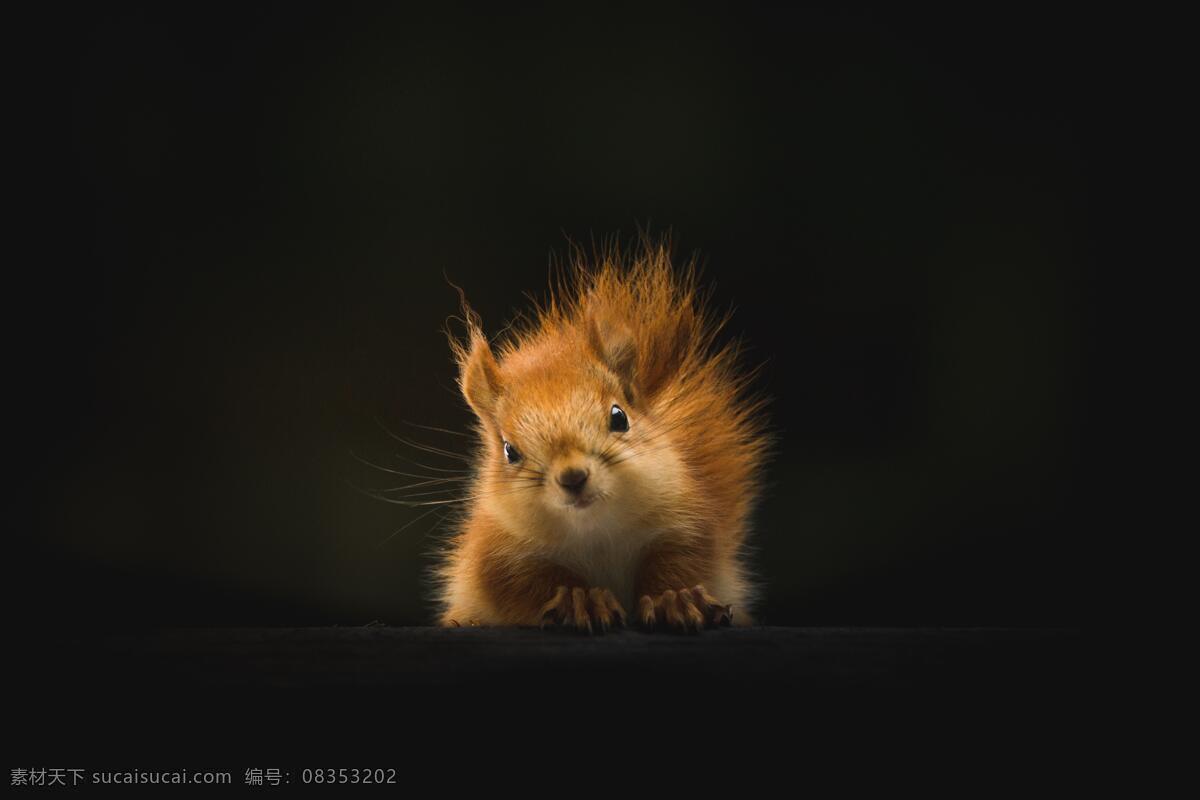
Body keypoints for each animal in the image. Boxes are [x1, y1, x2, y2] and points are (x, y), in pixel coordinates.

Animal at [432, 237, 768, 633]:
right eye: (509, 451)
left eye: (619, 417)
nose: (573, 477)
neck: (595, 531)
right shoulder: (497, 553)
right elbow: (527, 583)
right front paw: (581, 600)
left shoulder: (686, 520)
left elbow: (682, 561)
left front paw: (676, 598)